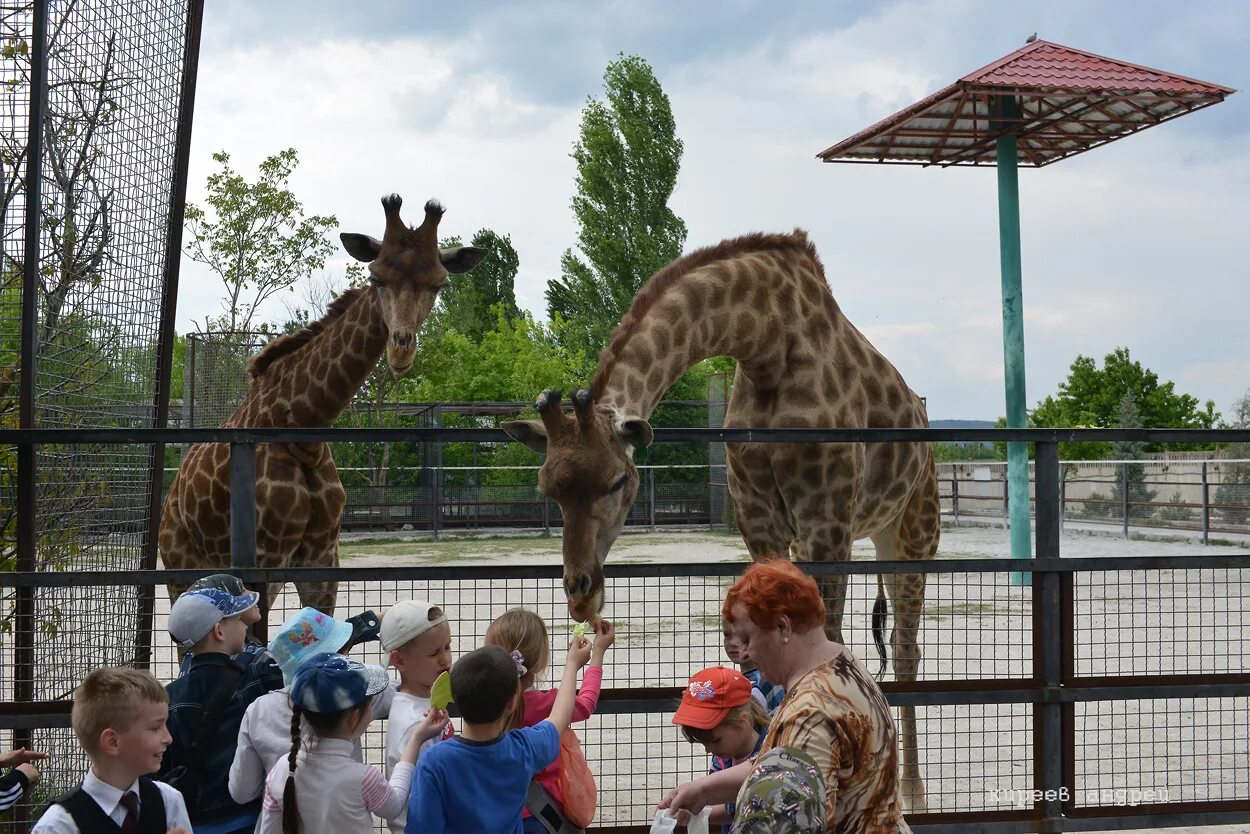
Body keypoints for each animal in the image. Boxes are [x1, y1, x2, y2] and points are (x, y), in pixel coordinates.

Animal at [157, 193, 487, 612]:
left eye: (439, 285)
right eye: (375, 277)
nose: (401, 349)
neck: (302, 428)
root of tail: (171, 497)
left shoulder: (322, 558)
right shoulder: (264, 559)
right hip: (180, 568)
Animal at [500, 226, 940, 810]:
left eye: (618, 481)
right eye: (548, 487)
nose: (581, 595)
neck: (767, 344)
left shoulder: (826, 518)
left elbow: (826, 638)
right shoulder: (759, 514)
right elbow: (760, 647)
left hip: (915, 526)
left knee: (908, 648)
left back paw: (913, 794)